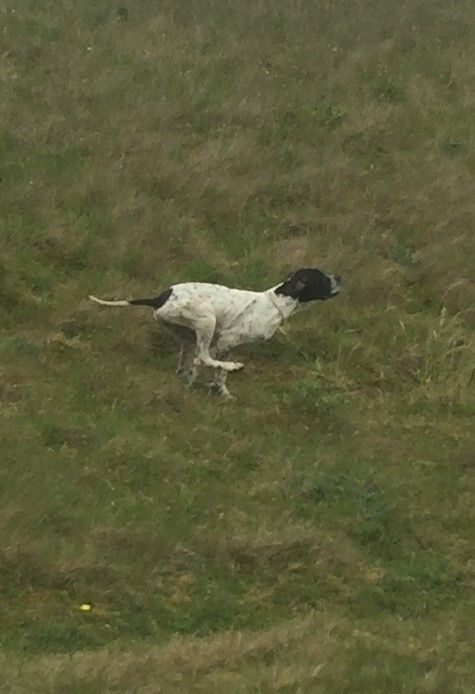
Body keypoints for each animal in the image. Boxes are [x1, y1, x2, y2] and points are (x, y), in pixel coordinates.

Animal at [90, 272, 342, 402]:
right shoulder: (225, 340)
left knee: (187, 361)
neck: (276, 303)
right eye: (322, 278)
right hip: (206, 321)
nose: (339, 277)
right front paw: (218, 379)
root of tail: (162, 297)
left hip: (187, 335)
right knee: (201, 356)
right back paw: (233, 366)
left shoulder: (228, 345)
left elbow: (217, 374)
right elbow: (212, 364)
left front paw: (221, 391)